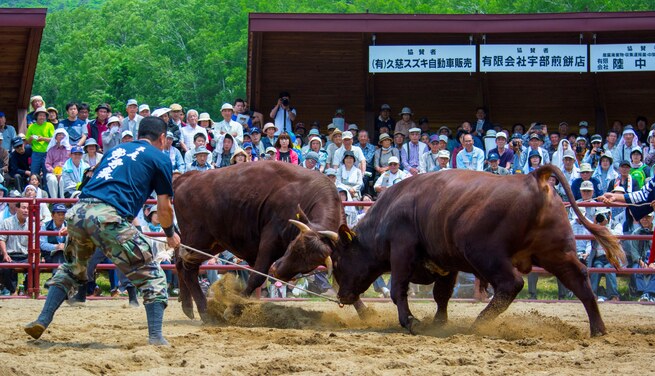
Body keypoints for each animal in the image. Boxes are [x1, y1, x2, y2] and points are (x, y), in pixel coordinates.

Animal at [174, 160, 344, 322]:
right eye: (293, 246)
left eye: (308, 266)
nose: (276, 271)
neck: (306, 194)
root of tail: (188, 178)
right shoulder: (269, 241)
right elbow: (257, 276)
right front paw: (233, 308)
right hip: (196, 239)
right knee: (188, 269)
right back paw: (205, 313)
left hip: (210, 244)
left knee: (179, 263)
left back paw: (187, 305)